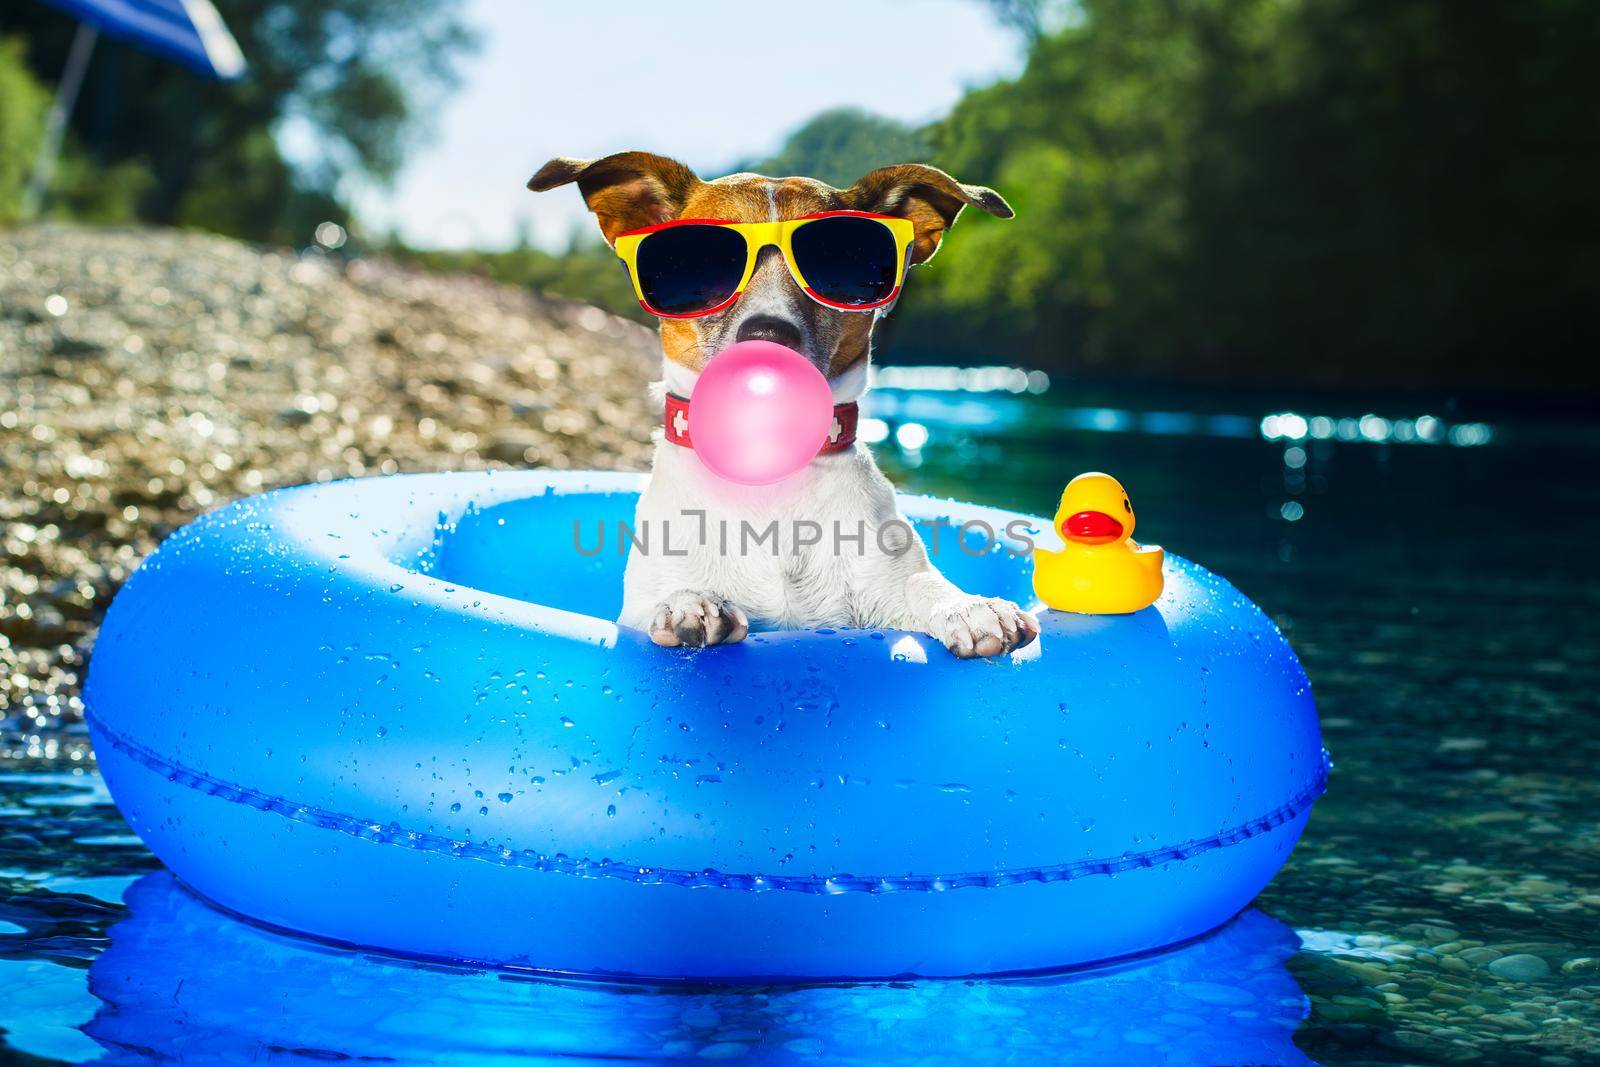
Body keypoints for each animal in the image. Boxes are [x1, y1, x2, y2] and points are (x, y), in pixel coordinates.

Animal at [531, 150, 1043, 659]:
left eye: (840, 259)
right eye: (696, 262)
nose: (768, 335)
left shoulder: (885, 581)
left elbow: (921, 584)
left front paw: (965, 605)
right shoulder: (637, 608)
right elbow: (664, 600)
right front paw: (688, 603)